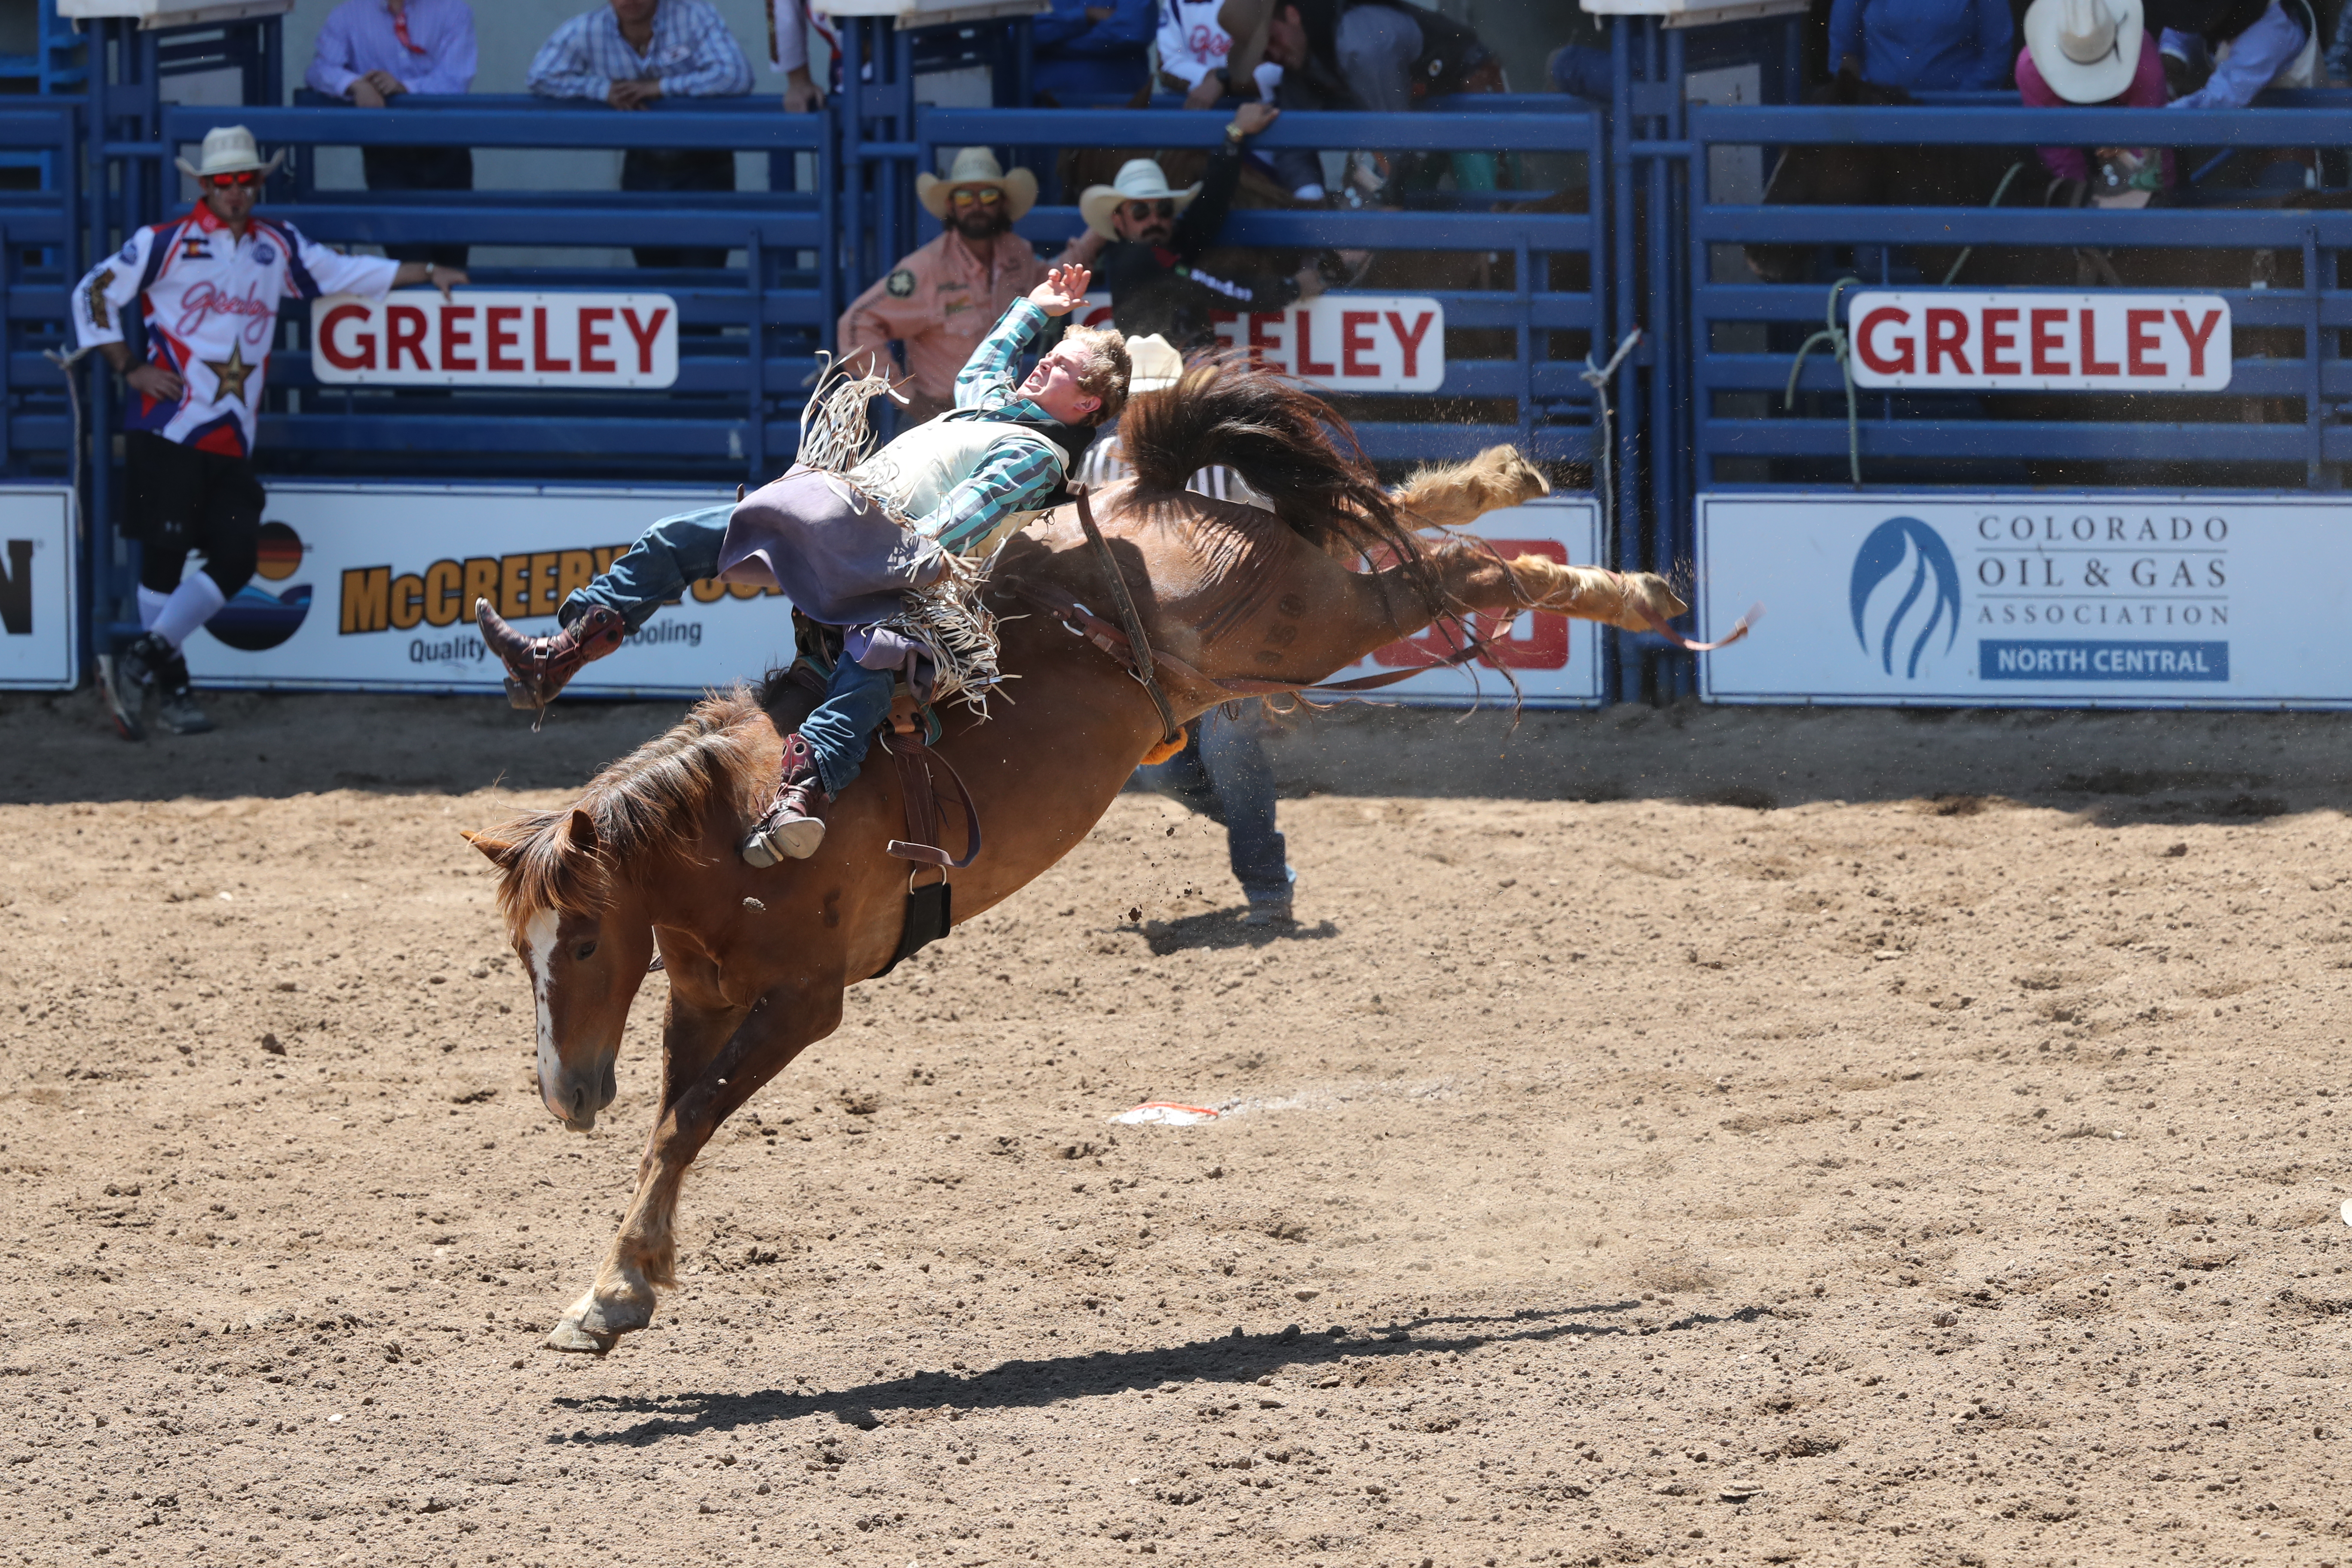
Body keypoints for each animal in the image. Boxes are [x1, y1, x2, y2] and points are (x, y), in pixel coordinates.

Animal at [462, 360, 1688, 1356]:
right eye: (518, 955)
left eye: (581, 942)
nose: (567, 1096)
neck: (734, 823)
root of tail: (1137, 508)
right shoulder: (703, 997)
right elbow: (672, 1129)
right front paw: (616, 1290)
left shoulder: (807, 1001)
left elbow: (689, 1121)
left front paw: (615, 1292)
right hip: (1292, 597)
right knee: (1374, 519)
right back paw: (1499, 476)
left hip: (1309, 623)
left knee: (1453, 579)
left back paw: (1632, 593)